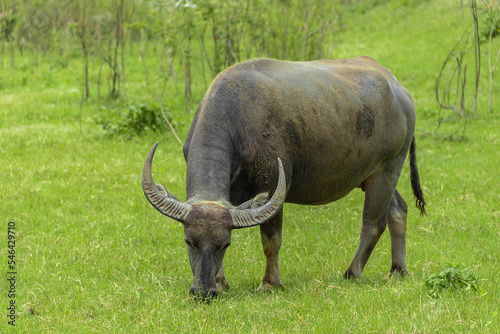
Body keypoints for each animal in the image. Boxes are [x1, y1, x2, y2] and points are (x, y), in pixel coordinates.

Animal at [141, 56, 426, 298]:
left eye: (225, 245)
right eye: (189, 241)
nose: (203, 292)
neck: (239, 118)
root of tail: (399, 90)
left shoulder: (272, 185)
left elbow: (271, 241)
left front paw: (270, 283)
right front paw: (221, 282)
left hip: (388, 168)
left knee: (373, 223)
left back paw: (352, 272)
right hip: (374, 175)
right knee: (398, 210)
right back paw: (398, 270)